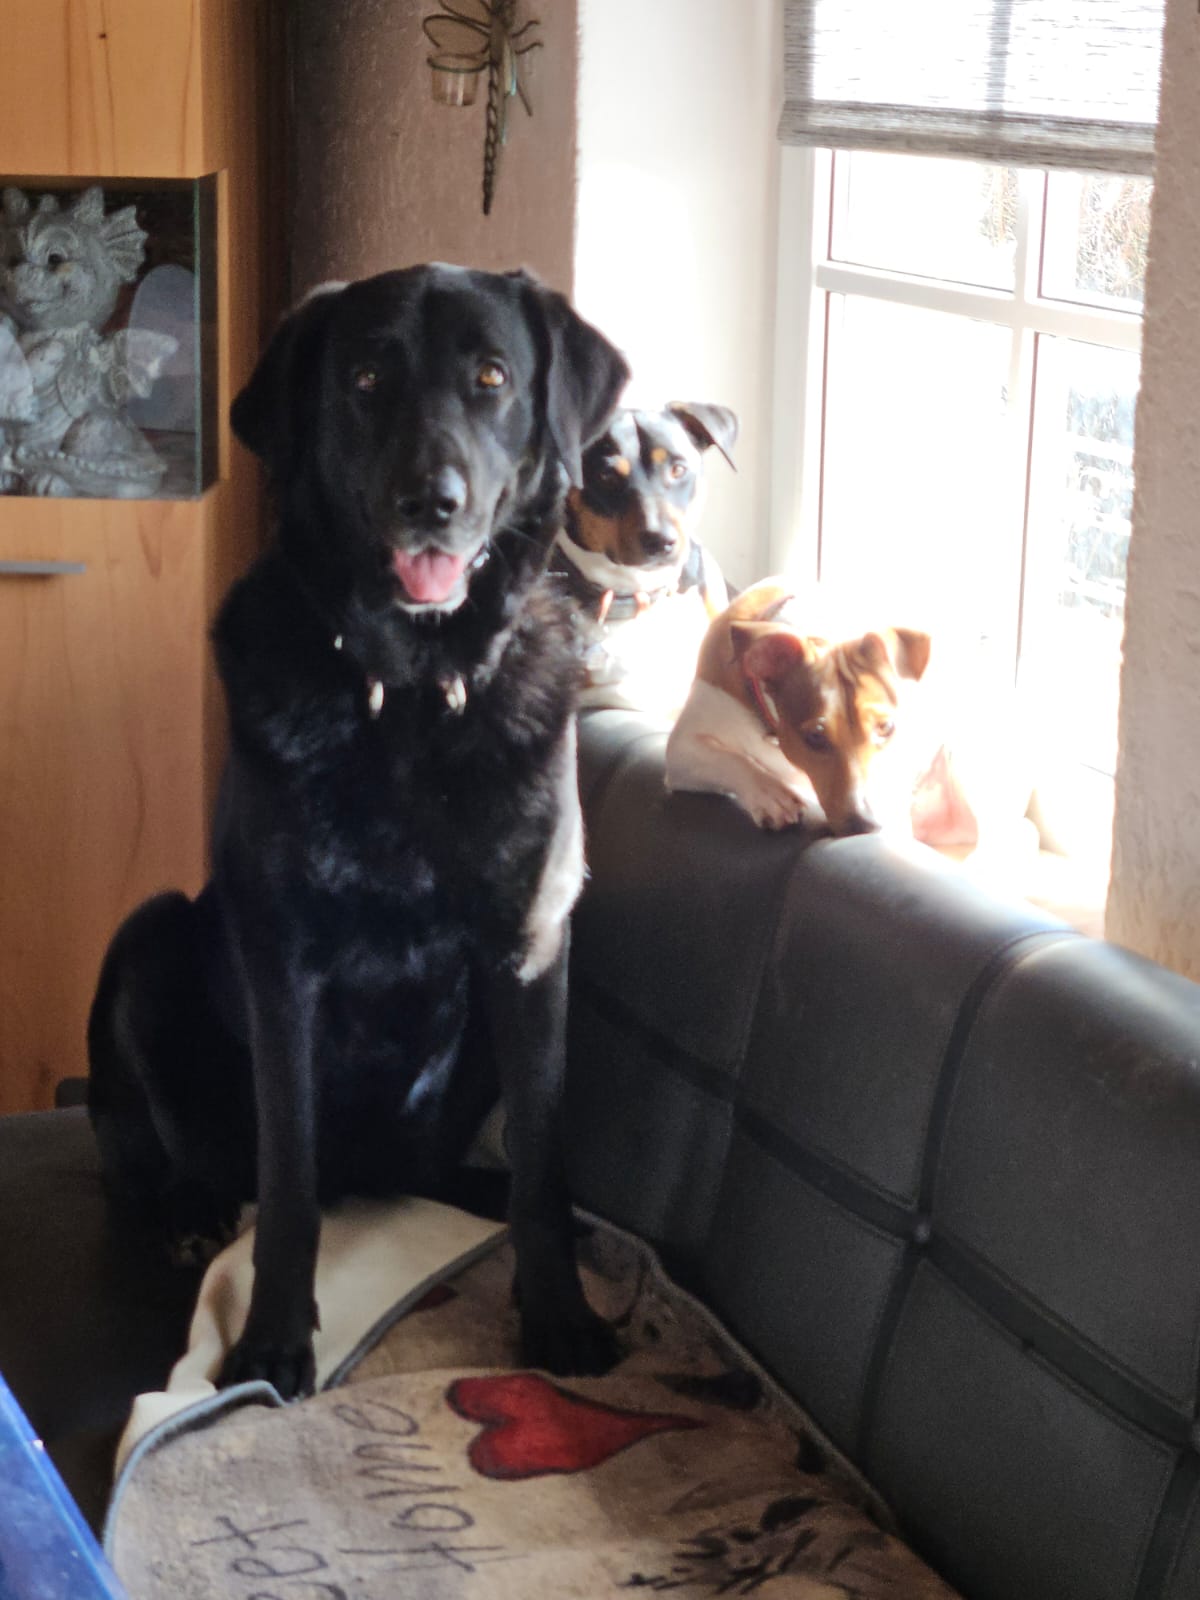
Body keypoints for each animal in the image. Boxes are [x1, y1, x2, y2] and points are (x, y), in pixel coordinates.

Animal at [86, 265, 630, 1399]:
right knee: (150, 1146)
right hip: (150, 938)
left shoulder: (531, 947)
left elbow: (545, 1161)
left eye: (492, 377)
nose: (433, 504)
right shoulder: (281, 957)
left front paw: (558, 1313)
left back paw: (478, 1190)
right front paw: (269, 1345)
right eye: (368, 379)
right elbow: (287, 1180)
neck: (414, 696)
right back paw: (186, 1208)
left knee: (447, 1169)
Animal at [665, 580, 932, 835]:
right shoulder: (683, 746)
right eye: (815, 736)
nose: (868, 824)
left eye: (886, 728)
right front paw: (772, 796)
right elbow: (731, 759)